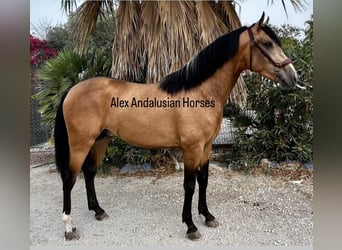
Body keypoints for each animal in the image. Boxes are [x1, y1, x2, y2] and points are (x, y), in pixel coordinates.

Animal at [54, 13, 298, 240]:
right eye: (267, 43)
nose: (293, 77)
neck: (200, 92)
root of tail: (72, 90)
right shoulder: (191, 149)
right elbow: (189, 185)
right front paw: (191, 226)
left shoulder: (206, 147)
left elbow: (203, 180)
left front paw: (207, 216)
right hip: (80, 143)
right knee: (69, 178)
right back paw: (68, 227)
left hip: (101, 139)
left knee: (90, 172)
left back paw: (98, 210)